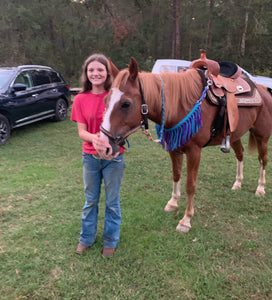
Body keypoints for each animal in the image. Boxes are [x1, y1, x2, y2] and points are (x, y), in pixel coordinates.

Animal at [100, 57, 272, 233]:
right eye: (105, 100)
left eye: (126, 104)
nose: (104, 145)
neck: (181, 104)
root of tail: (264, 89)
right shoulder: (175, 149)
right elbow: (176, 175)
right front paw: (172, 203)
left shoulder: (194, 151)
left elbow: (190, 185)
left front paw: (186, 220)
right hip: (235, 135)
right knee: (240, 154)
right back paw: (237, 183)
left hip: (262, 136)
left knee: (263, 160)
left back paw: (260, 188)